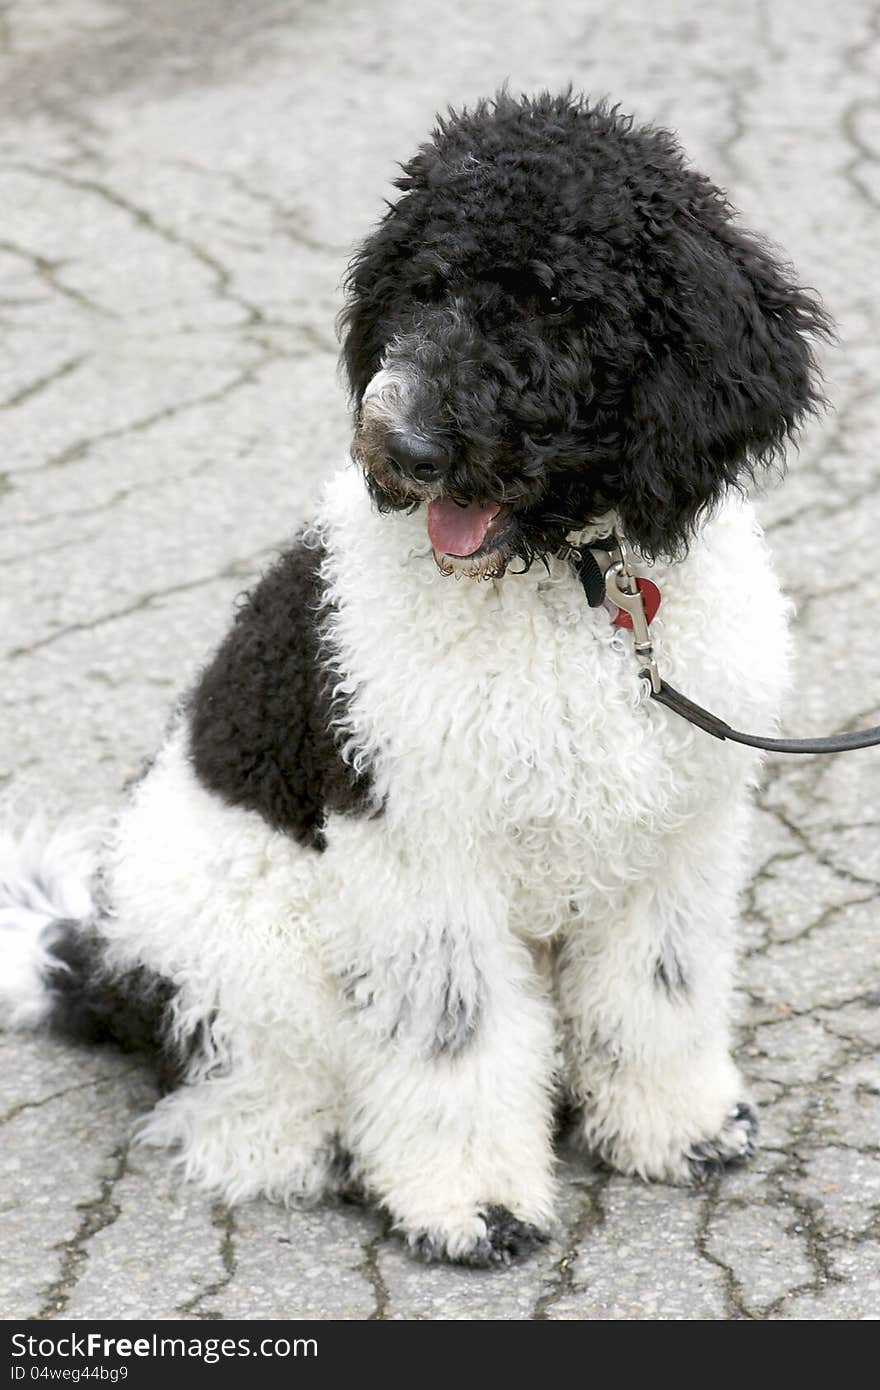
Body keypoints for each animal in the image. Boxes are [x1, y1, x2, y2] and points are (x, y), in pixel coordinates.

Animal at [0, 95, 828, 1273]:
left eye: (564, 305)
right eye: (428, 287)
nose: (407, 443)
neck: (571, 587)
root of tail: (100, 961)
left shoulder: (671, 835)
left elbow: (659, 987)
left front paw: (674, 1126)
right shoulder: (421, 854)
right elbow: (454, 1034)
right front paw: (469, 1201)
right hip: (256, 951)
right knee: (231, 1095)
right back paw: (309, 1147)